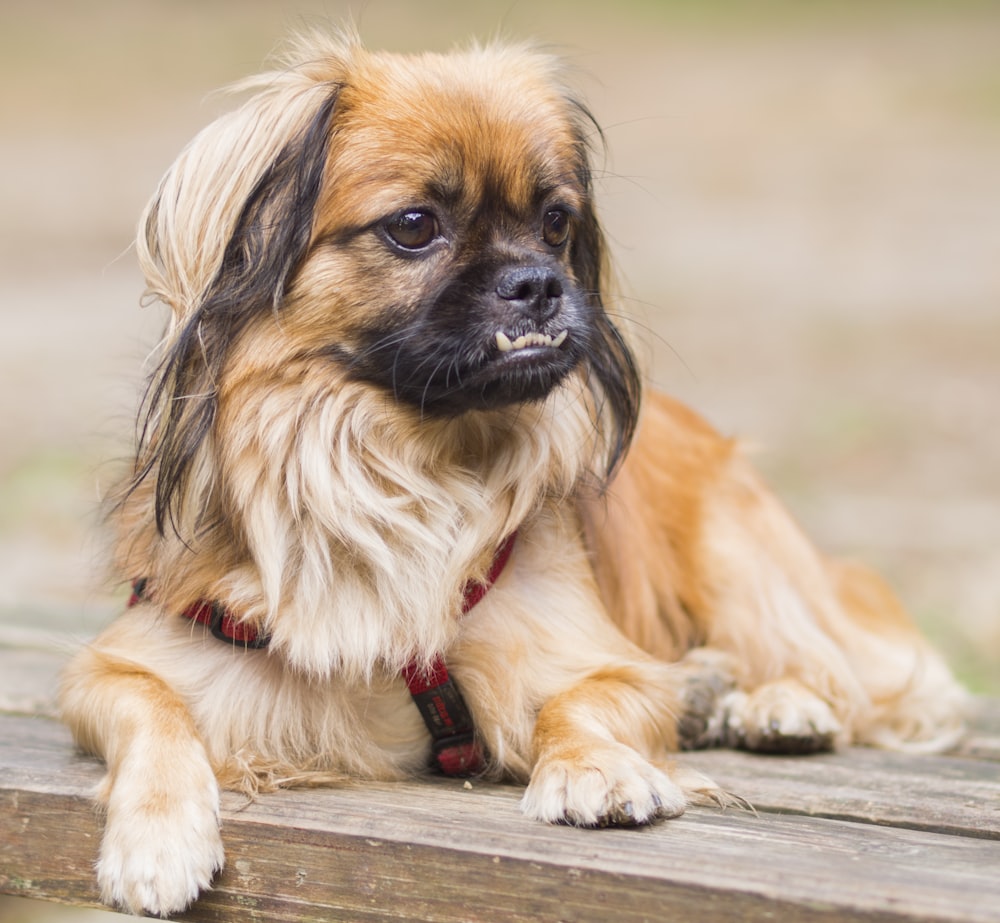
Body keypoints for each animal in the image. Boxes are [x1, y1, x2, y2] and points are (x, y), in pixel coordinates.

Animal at [58, 30, 964, 916]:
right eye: (414, 225)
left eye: (557, 222)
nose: (539, 281)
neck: (405, 460)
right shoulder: (115, 665)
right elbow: (153, 712)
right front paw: (157, 836)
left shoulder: (609, 664)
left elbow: (579, 700)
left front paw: (597, 766)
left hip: (737, 548)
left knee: (838, 670)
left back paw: (776, 703)